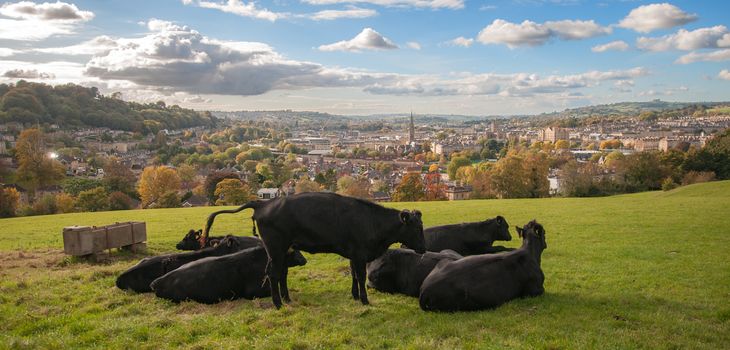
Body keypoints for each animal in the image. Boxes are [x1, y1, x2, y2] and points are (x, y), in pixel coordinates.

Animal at [202, 191, 424, 308]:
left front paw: (354, 296)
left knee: (281, 273)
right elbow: (360, 277)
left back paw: (287, 299)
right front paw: (364, 300)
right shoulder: (360, 254)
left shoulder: (353, 254)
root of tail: (264, 203)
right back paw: (278, 303)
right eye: (415, 227)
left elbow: (353, 275)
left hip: (281, 249)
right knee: (273, 273)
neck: (372, 221)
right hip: (275, 247)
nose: (423, 249)